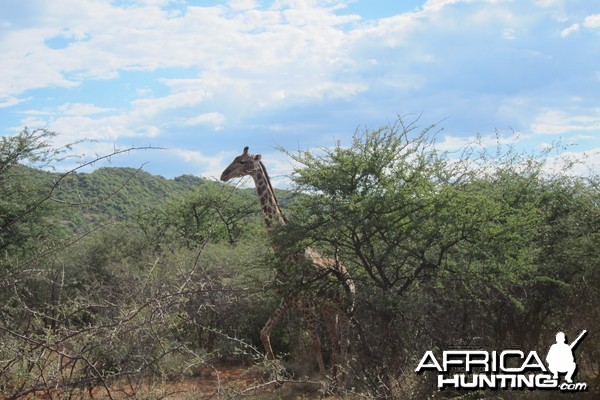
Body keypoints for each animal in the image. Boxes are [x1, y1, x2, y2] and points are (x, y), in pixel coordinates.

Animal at [221, 147, 356, 382]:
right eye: (234, 158)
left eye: (243, 161)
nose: (223, 175)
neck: (282, 250)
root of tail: (350, 276)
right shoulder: (288, 299)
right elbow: (264, 332)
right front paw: (276, 378)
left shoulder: (305, 303)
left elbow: (315, 343)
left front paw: (322, 380)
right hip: (330, 309)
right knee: (337, 341)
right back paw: (338, 377)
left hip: (347, 307)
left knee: (345, 343)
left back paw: (343, 379)